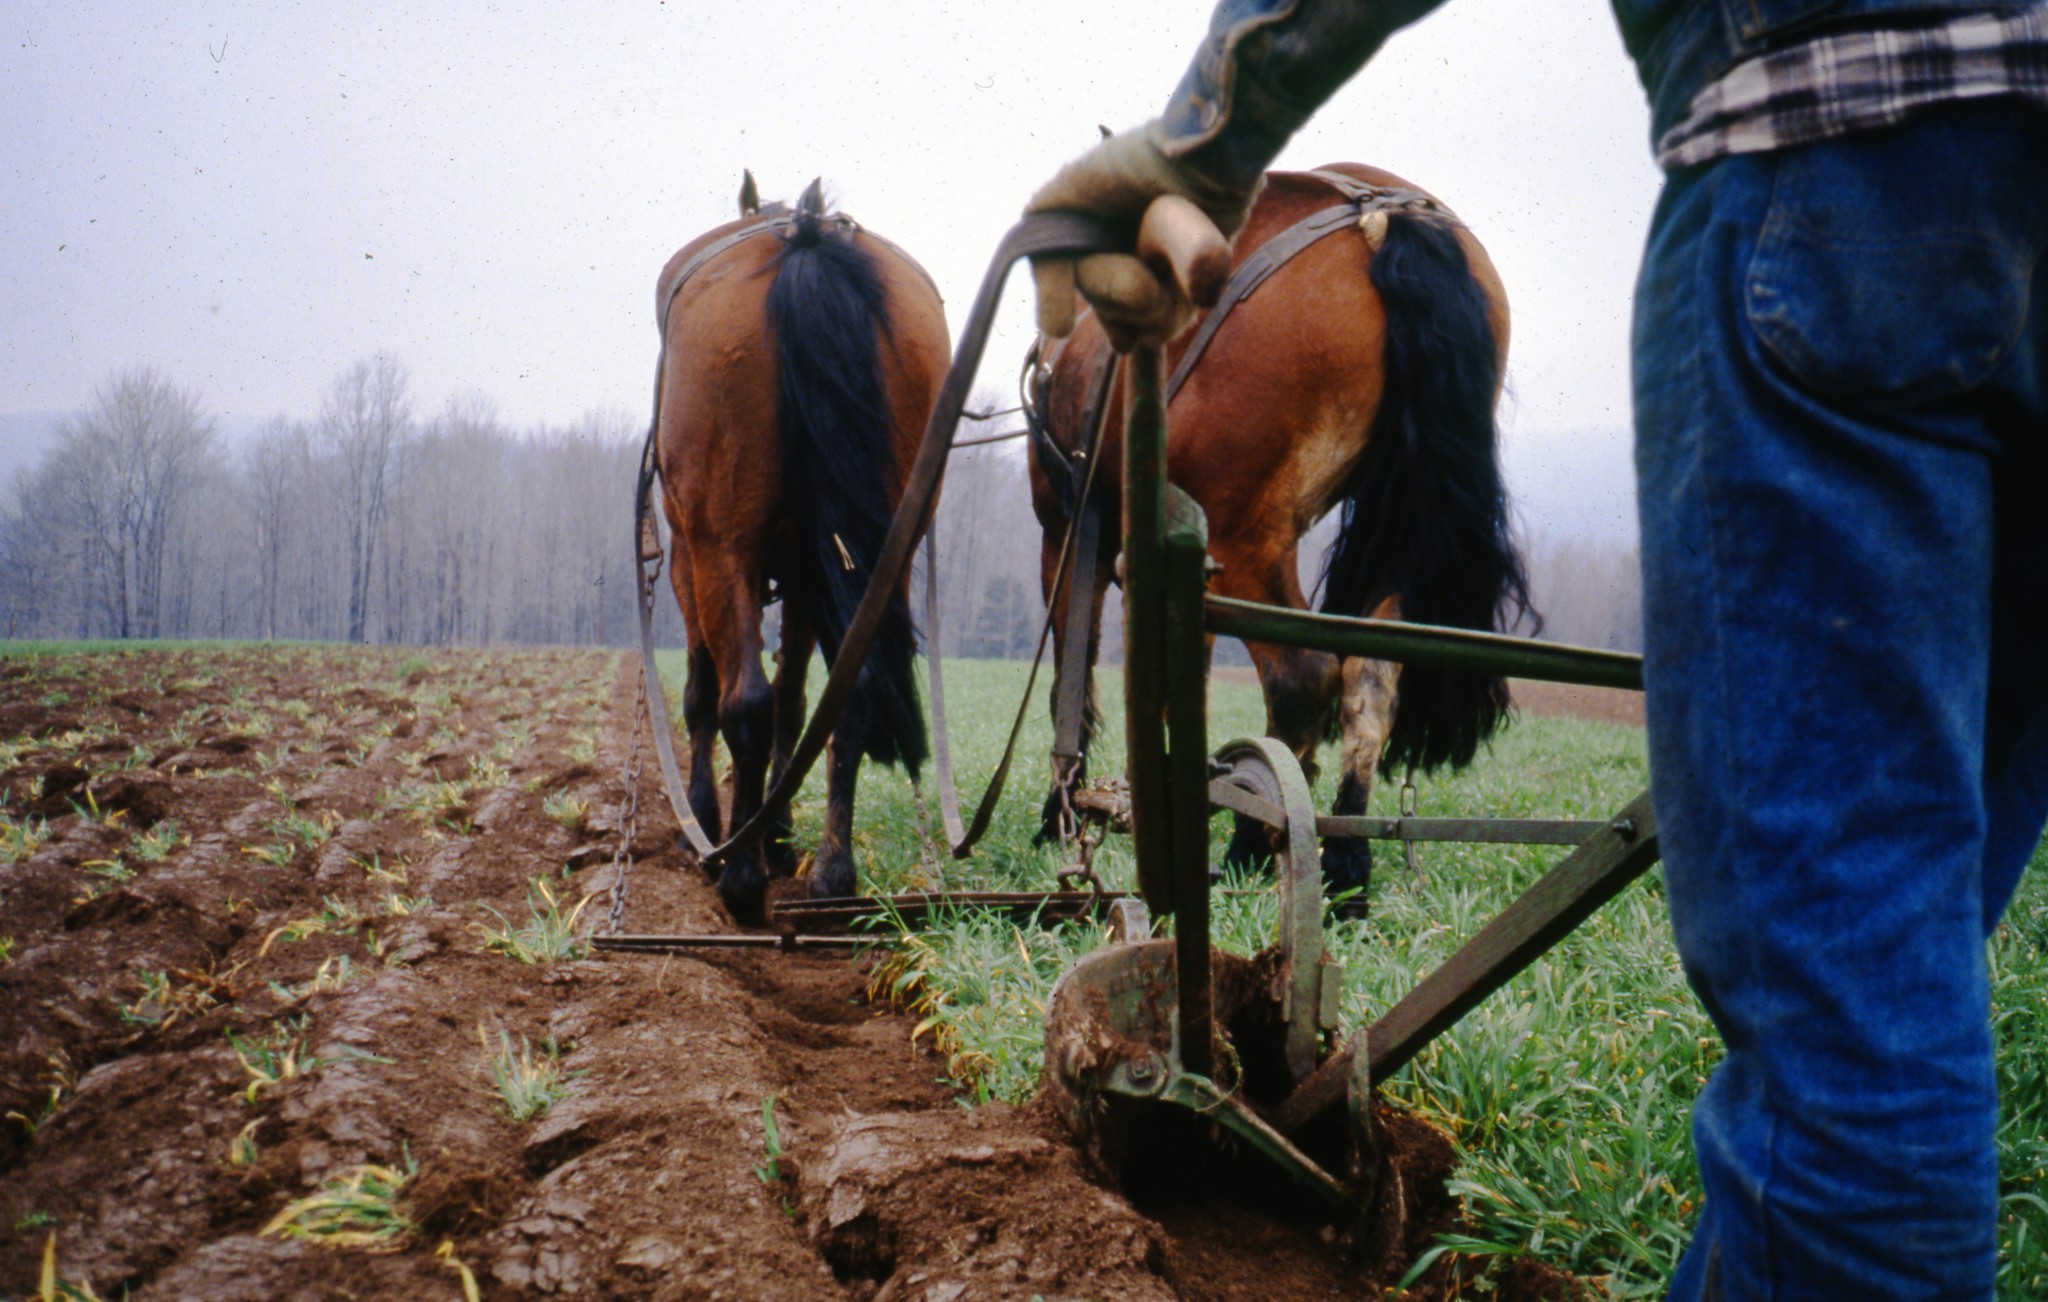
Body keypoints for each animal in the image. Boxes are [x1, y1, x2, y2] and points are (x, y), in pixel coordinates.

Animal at [651, 178, 946, 925]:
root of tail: (807, 235)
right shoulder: (814, 573)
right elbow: (797, 696)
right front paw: (779, 833)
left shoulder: (689, 556)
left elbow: (706, 692)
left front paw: (708, 821)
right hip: (882, 549)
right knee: (853, 691)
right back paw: (833, 877)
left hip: (722, 543)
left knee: (744, 702)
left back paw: (739, 876)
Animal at [1032, 164, 1531, 904]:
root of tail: (1383, 219)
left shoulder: (1067, 532)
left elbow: (1077, 675)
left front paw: (1063, 813)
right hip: (1385, 535)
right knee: (1369, 679)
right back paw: (1345, 864)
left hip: (1245, 539)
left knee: (1301, 675)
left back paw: (1252, 843)